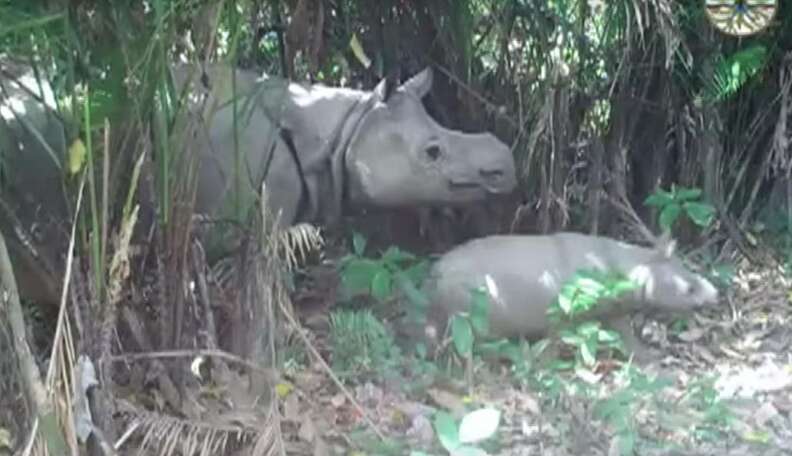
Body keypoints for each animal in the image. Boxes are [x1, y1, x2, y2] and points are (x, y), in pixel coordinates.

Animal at [424, 232, 720, 356]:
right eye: (689, 287)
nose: (715, 294)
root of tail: (435, 270)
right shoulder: (563, 313)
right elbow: (554, 343)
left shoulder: (613, 308)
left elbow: (625, 334)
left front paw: (646, 357)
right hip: (470, 305)